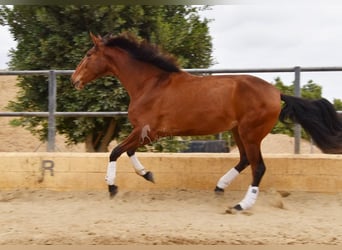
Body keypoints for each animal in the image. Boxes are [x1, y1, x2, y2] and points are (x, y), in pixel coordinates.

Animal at [71, 31, 342, 211]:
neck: (150, 84)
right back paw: (219, 188)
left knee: (258, 167)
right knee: (245, 160)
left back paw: (241, 204)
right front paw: (148, 174)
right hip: (238, 132)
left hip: (250, 133)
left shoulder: (148, 131)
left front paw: (112, 187)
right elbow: (127, 152)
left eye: (88, 54)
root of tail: (276, 93)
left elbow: (115, 151)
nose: (74, 80)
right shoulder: (145, 132)